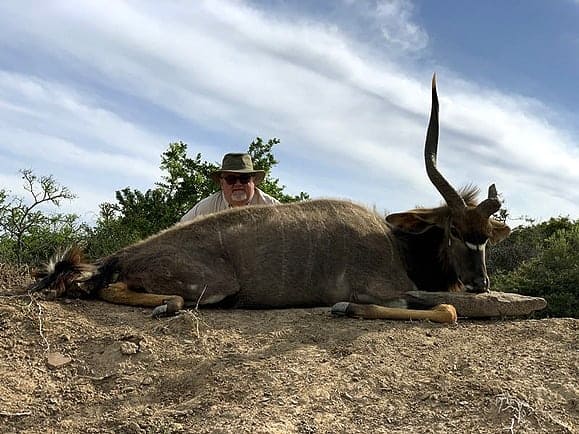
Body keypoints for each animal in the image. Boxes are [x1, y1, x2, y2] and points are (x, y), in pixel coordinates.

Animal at [28, 77, 508, 322]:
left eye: (486, 235)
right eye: (452, 230)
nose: (481, 283)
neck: (395, 243)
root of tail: (125, 254)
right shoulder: (387, 291)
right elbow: (446, 309)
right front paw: (342, 307)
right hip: (214, 288)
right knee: (116, 289)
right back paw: (167, 305)